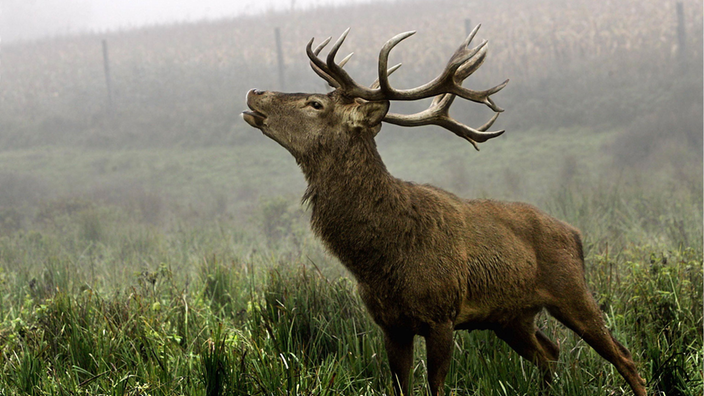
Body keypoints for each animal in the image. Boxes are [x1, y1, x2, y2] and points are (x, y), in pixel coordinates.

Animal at [241, 26, 644, 394]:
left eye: (315, 104)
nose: (255, 91)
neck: (381, 260)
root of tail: (575, 234)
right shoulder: (391, 324)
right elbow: (400, 385)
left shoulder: (441, 315)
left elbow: (436, 386)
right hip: (512, 317)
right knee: (551, 353)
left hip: (572, 290)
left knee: (624, 356)